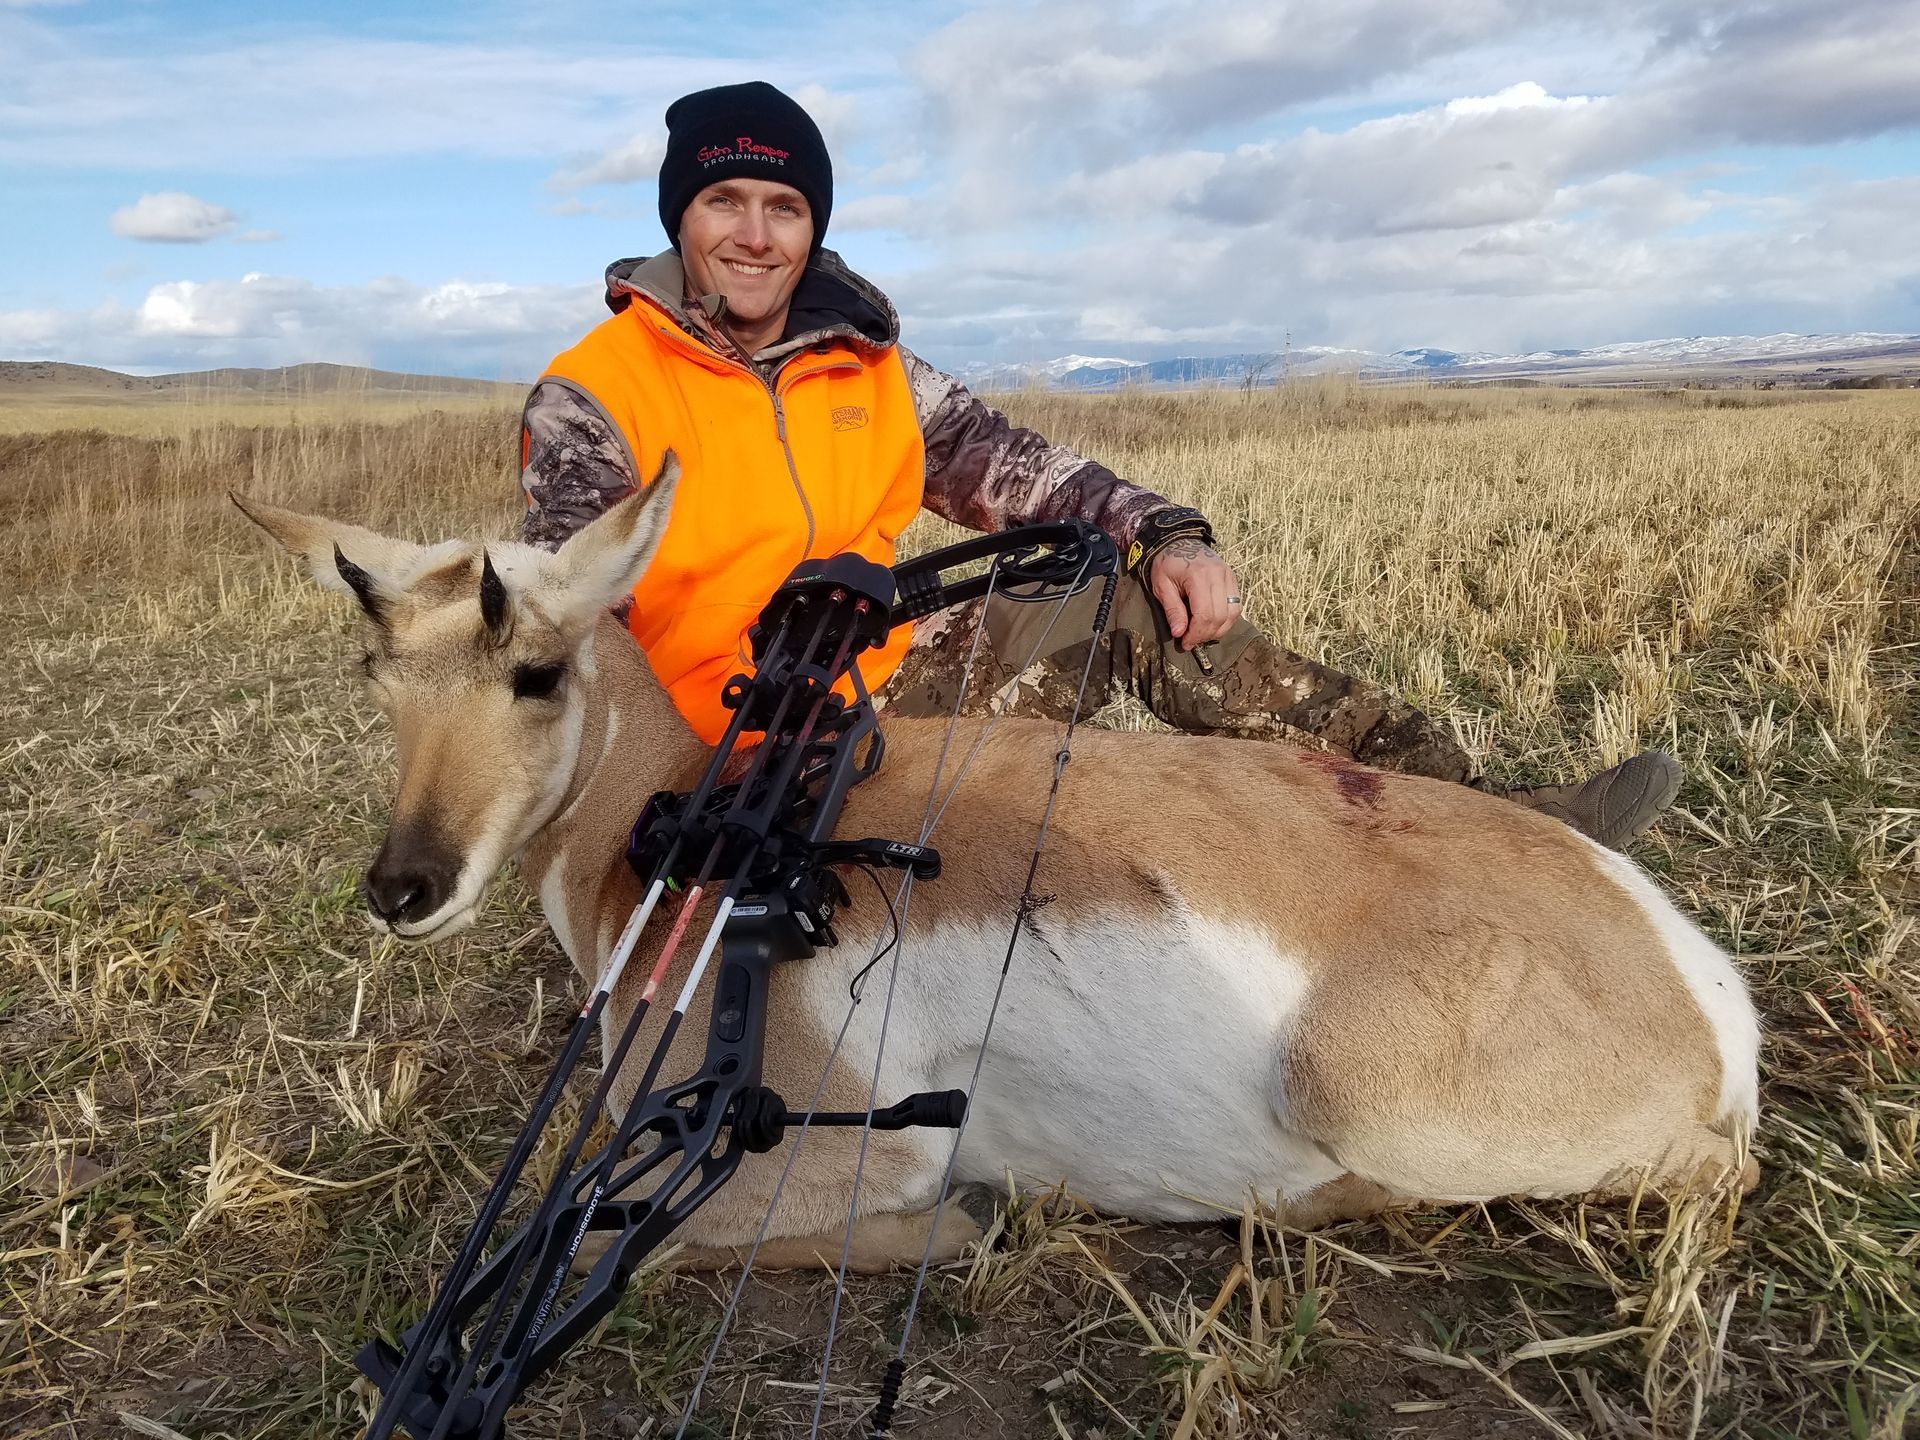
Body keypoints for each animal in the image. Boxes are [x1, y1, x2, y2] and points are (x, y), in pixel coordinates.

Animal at [235, 464, 1760, 1271]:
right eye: (378, 678)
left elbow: (650, 1234)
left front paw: (966, 1223)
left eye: (536, 672)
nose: (402, 887)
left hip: (1362, 1087)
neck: (678, 819)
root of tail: (1685, 969)